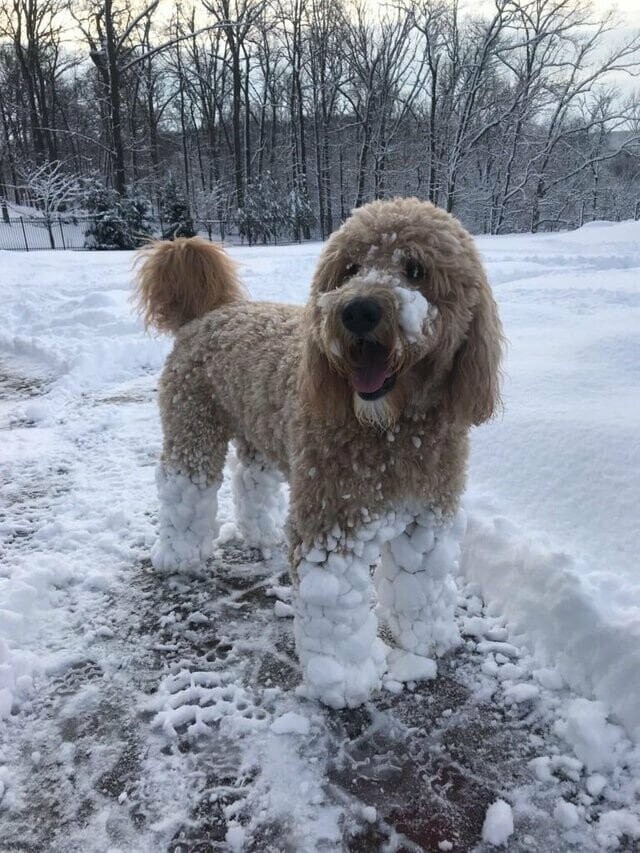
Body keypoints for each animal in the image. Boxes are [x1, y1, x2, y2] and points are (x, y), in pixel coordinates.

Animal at [136, 198, 504, 704]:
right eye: (349, 269)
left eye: (416, 269)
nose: (358, 311)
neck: (393, 428)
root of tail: (212, 312)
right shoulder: (331, 522)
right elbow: (334, 608)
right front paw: (346, 682)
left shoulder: (428, 515)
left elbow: (422, 580)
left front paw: (428, 637)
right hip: (193, 425)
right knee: (183, 489)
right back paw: (179, 557)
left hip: (261, 432)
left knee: (251, 480)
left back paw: (261, 533)